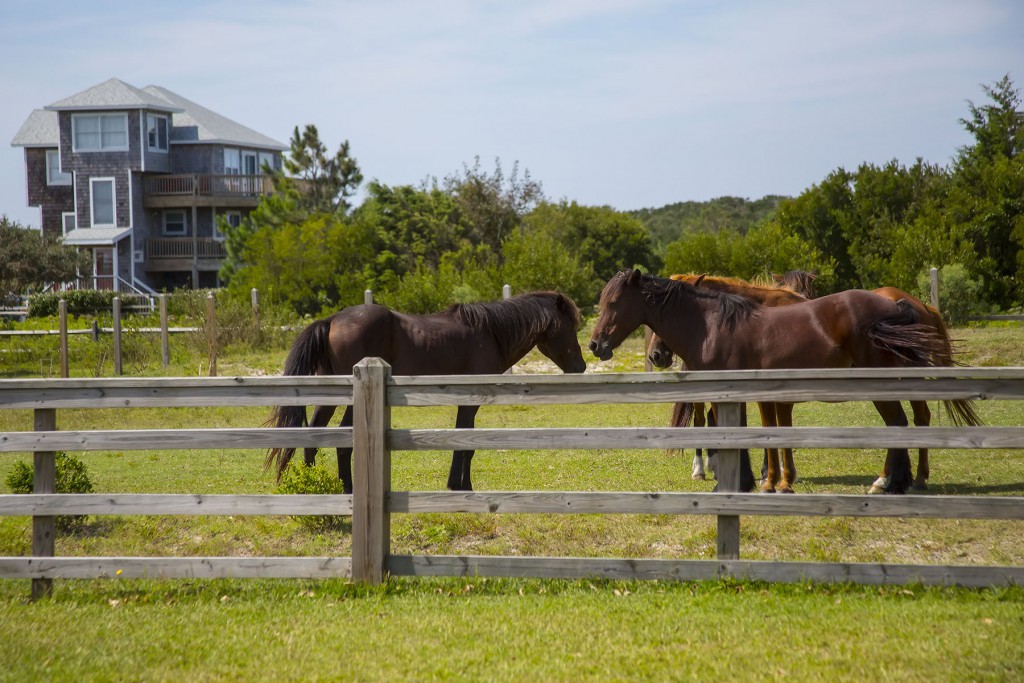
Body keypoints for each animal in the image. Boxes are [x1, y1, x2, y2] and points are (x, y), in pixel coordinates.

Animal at [266, 290, 585, 493]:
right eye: (571, 326)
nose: (581, 365)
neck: (492, 333)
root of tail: (331, 320)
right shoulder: (470, 401)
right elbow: (465, 445)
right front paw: (461, 486)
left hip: (328, 395)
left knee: (313, 438)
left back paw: (314, 488)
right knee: (342, 443)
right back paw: (347, 489)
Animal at [593, 268, 958, 497]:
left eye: (614, 303)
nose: (596, 345)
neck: (711, 326)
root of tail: (900, 304)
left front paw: (741, 483)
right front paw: (757, 482)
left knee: (901, 423)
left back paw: (889, 484)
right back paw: (900, 482)